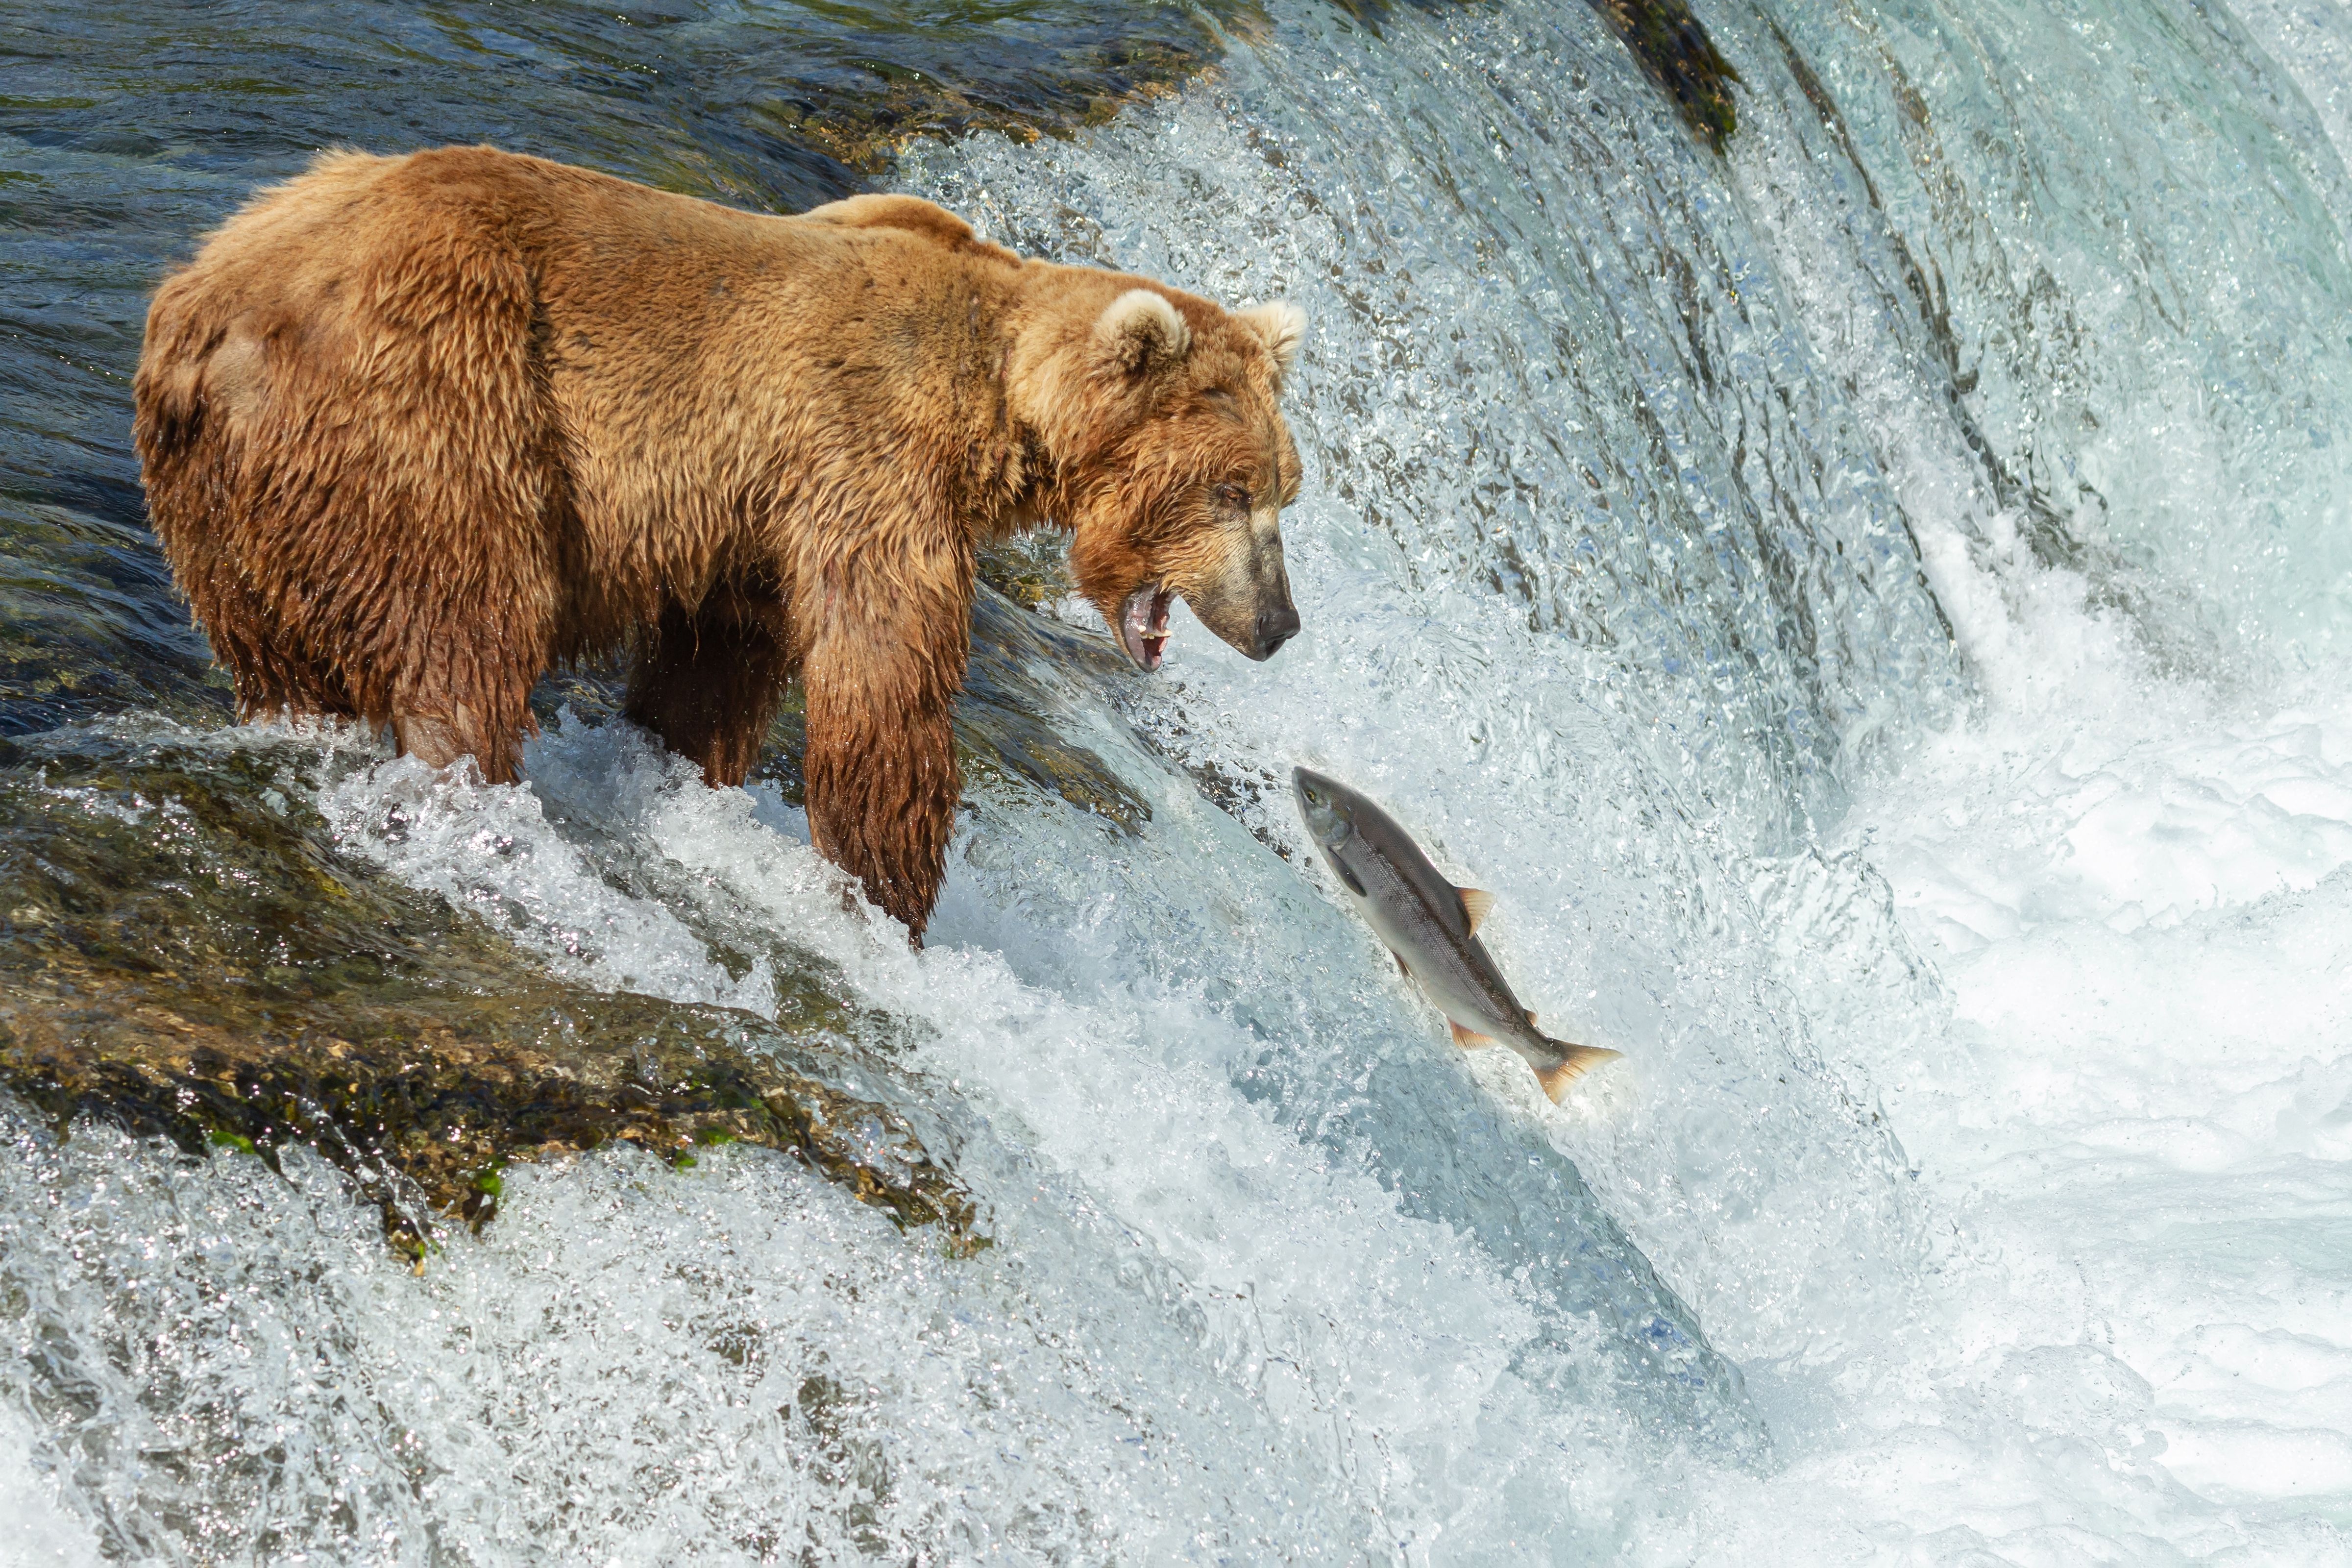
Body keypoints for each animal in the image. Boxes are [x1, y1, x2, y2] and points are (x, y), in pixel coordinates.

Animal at [133, 147, 1307, 940]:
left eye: (1284, 490)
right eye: (1232, 488)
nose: (1282, 623)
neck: (999, 397)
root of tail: (217, 310)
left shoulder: (753, 516)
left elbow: (718, 663)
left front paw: (679, 766)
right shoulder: (866, 457)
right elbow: (881, 679)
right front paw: (889, 893)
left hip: (229, 506)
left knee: (282, 648)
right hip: (439, 394)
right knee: (465, 620)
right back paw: (470, 788)